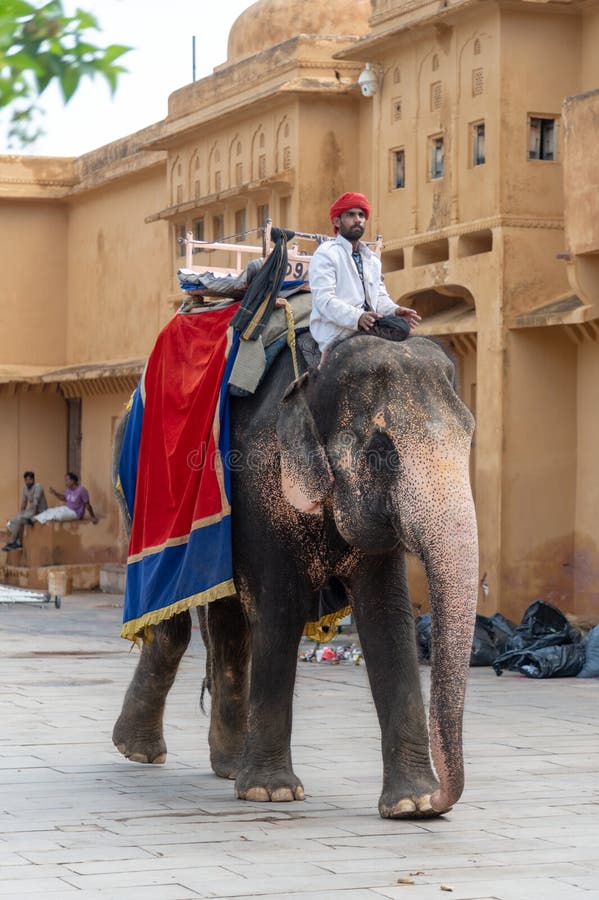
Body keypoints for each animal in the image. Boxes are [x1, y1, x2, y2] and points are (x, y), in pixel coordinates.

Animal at [112, 334, 478, 820]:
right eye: (380, 452)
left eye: (470, 437)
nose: (441, 799)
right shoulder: (262, 488)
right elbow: (279, 609)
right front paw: (272, 794)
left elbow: (389, 617)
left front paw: (411, 805)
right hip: (140, 500)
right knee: (176, 624)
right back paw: (139, 751)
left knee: (229, 627)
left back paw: (228, 765)